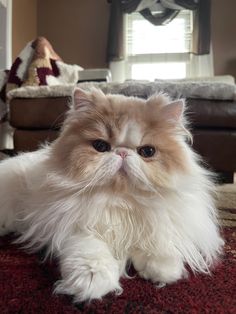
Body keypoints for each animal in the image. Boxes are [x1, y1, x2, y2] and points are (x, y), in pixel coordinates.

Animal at [0, 87, 225, 302]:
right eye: (101, 146)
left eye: (147, 151)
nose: (123, 152)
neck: (120, 199)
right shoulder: (76, 226)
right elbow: (91, 252)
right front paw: (91, 281)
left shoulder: (158, 219)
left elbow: (157, 237)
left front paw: (163, 270)